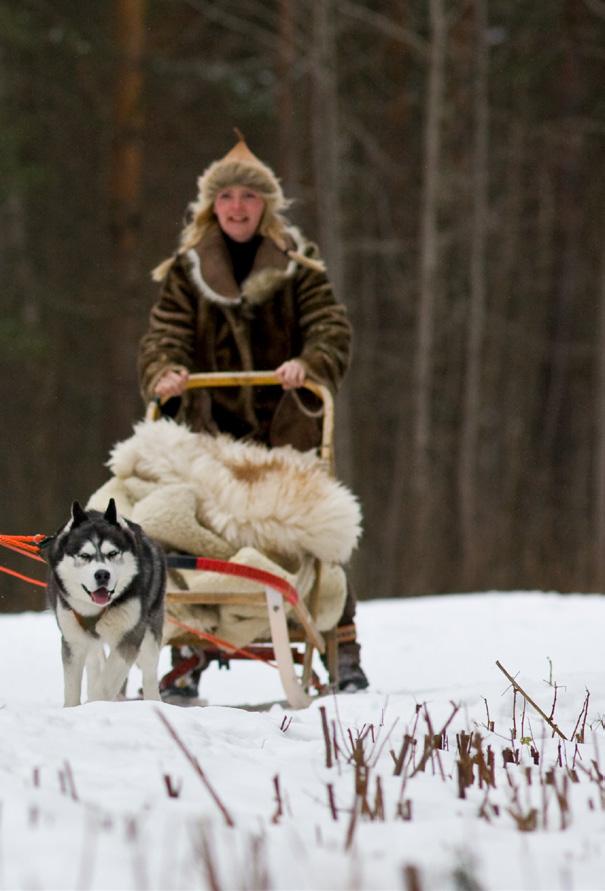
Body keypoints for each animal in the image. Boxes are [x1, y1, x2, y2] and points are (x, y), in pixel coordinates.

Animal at [45, 498, 165, 708]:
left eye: (112, 553)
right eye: (84, 556)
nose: (102, 574)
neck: (96, 610)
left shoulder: (130, 634)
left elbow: (107, 683)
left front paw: (95, 703)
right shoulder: (73, 640)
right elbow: (72, 687)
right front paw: (73, 708)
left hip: (150, 632)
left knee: (149, 671)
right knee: (94, 662)